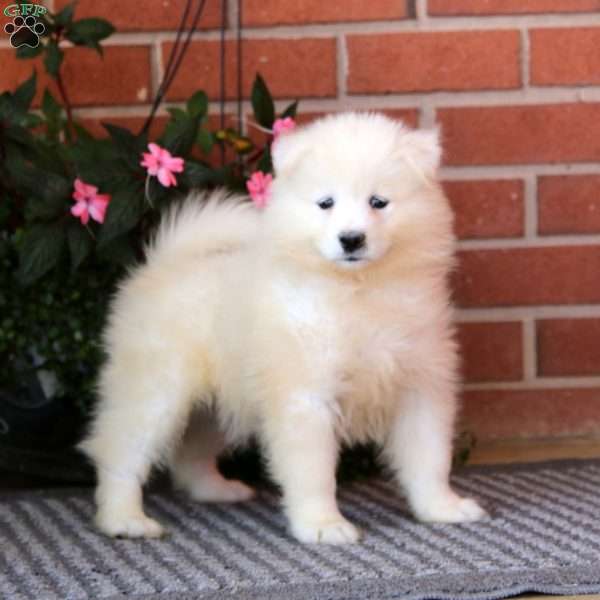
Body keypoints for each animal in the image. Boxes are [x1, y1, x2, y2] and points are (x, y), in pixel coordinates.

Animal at [79, 111, 488, 544]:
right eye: (325, 203)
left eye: (379, 202)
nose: (351, 239)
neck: (358, 289)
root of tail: (162, 264)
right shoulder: (306, 395)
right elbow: (315, 473)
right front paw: (323, 525)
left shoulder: (419, 384)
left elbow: (430, 457)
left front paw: (442, 508)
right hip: (155, 389)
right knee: (122, 452)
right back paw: (124, 519)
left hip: (220, 398)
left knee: (191, 451)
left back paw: (217, 490)